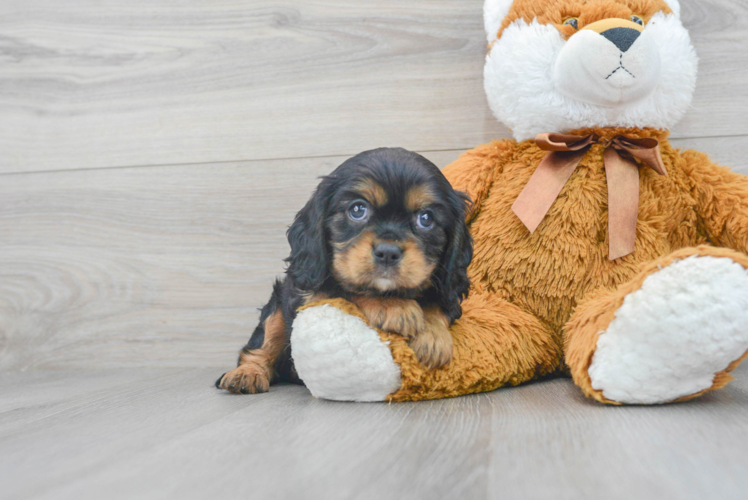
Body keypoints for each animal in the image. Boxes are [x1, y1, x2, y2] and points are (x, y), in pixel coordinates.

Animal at [218, 148, 474, 394]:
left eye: (426, 218)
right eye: (358, 210)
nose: (388, 252)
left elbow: (437, 303)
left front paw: (432, 336)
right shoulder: (309, 292)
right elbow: (346, 289)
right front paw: (394, 307)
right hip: (278, 305)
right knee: (263, 342)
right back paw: (247, 374)